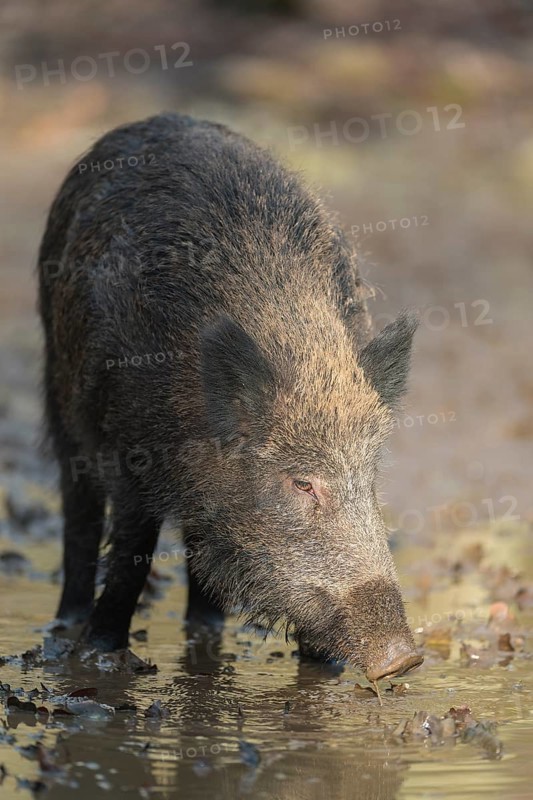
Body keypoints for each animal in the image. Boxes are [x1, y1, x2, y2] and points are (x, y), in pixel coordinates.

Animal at [38, 112, 423, 682]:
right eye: (301, 482)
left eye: (369, 477)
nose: (404, 658)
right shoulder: (128, 443)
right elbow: (132, 548)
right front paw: (102, 656)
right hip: (61, 395)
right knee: (79, 511)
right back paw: (65, 628)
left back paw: (205, 629)